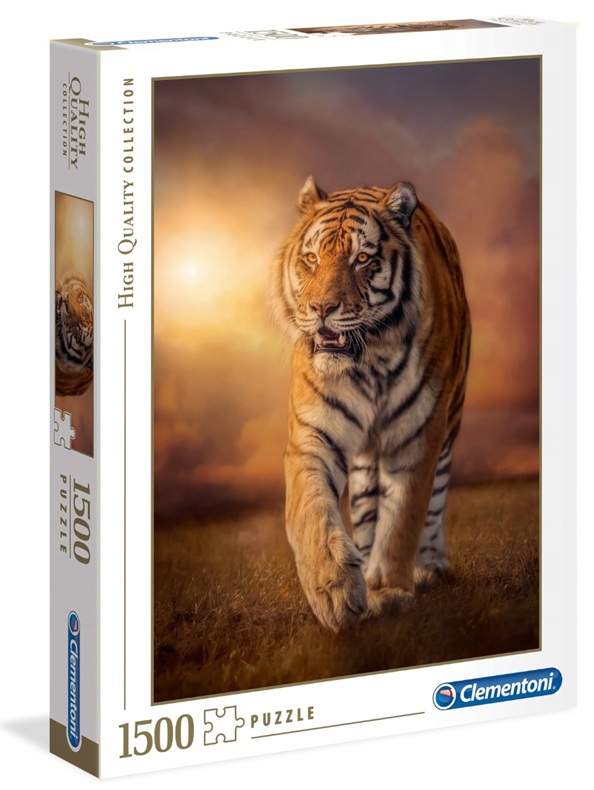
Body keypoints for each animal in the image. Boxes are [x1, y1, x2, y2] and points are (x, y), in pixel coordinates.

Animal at [271, 176, 471, 632]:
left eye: (362, 258)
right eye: (311, 258)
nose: (321, 309)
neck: (370, 361)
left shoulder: (418, 436)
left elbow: (403, 519)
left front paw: (390, 590)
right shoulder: (313, 435)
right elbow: (311, 509)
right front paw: (335, 591)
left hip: (450, 421)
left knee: (435, 500)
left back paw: (428, 565)